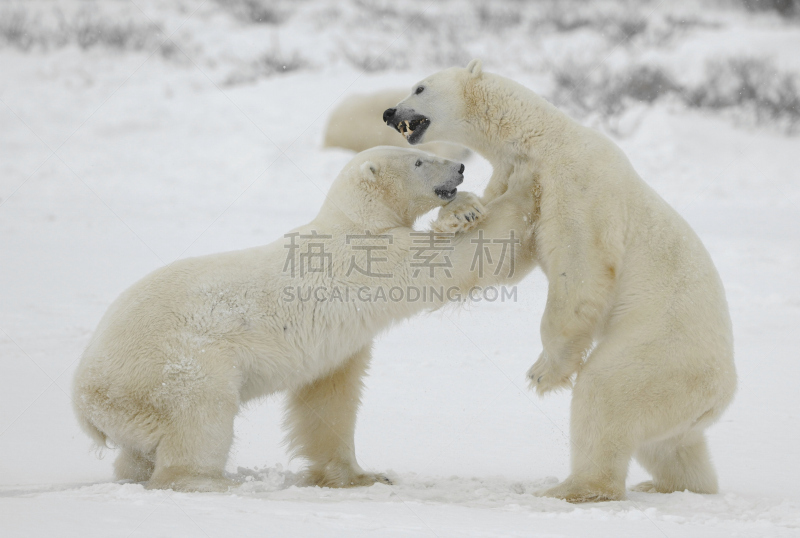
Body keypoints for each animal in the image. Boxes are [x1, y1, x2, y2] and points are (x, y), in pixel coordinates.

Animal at [73, 146, 536, 490]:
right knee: (202, 413)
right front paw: (517, 193)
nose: (460, 168)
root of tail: (85, 402)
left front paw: (362, 475)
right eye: (419, 161)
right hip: (172, 363)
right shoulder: (373, 257)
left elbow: (330, 398)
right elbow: (453, 261)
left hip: (134, 408)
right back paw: (209, 480)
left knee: (137, 451)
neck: (356, 221)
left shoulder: (340, 346)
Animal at [384, 60, 740, 500]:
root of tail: (721, 396)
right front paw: (458, 215)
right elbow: (503, 252)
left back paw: (573, 487)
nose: (389, 112)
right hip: (680, 401)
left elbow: (580, 265)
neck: (541, 136)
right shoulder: (510, 172)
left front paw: (543, 372)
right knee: (671, 445)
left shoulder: (575, 183)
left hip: (662, 352)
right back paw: (674, 485)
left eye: (419, 88)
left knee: (607, 392)